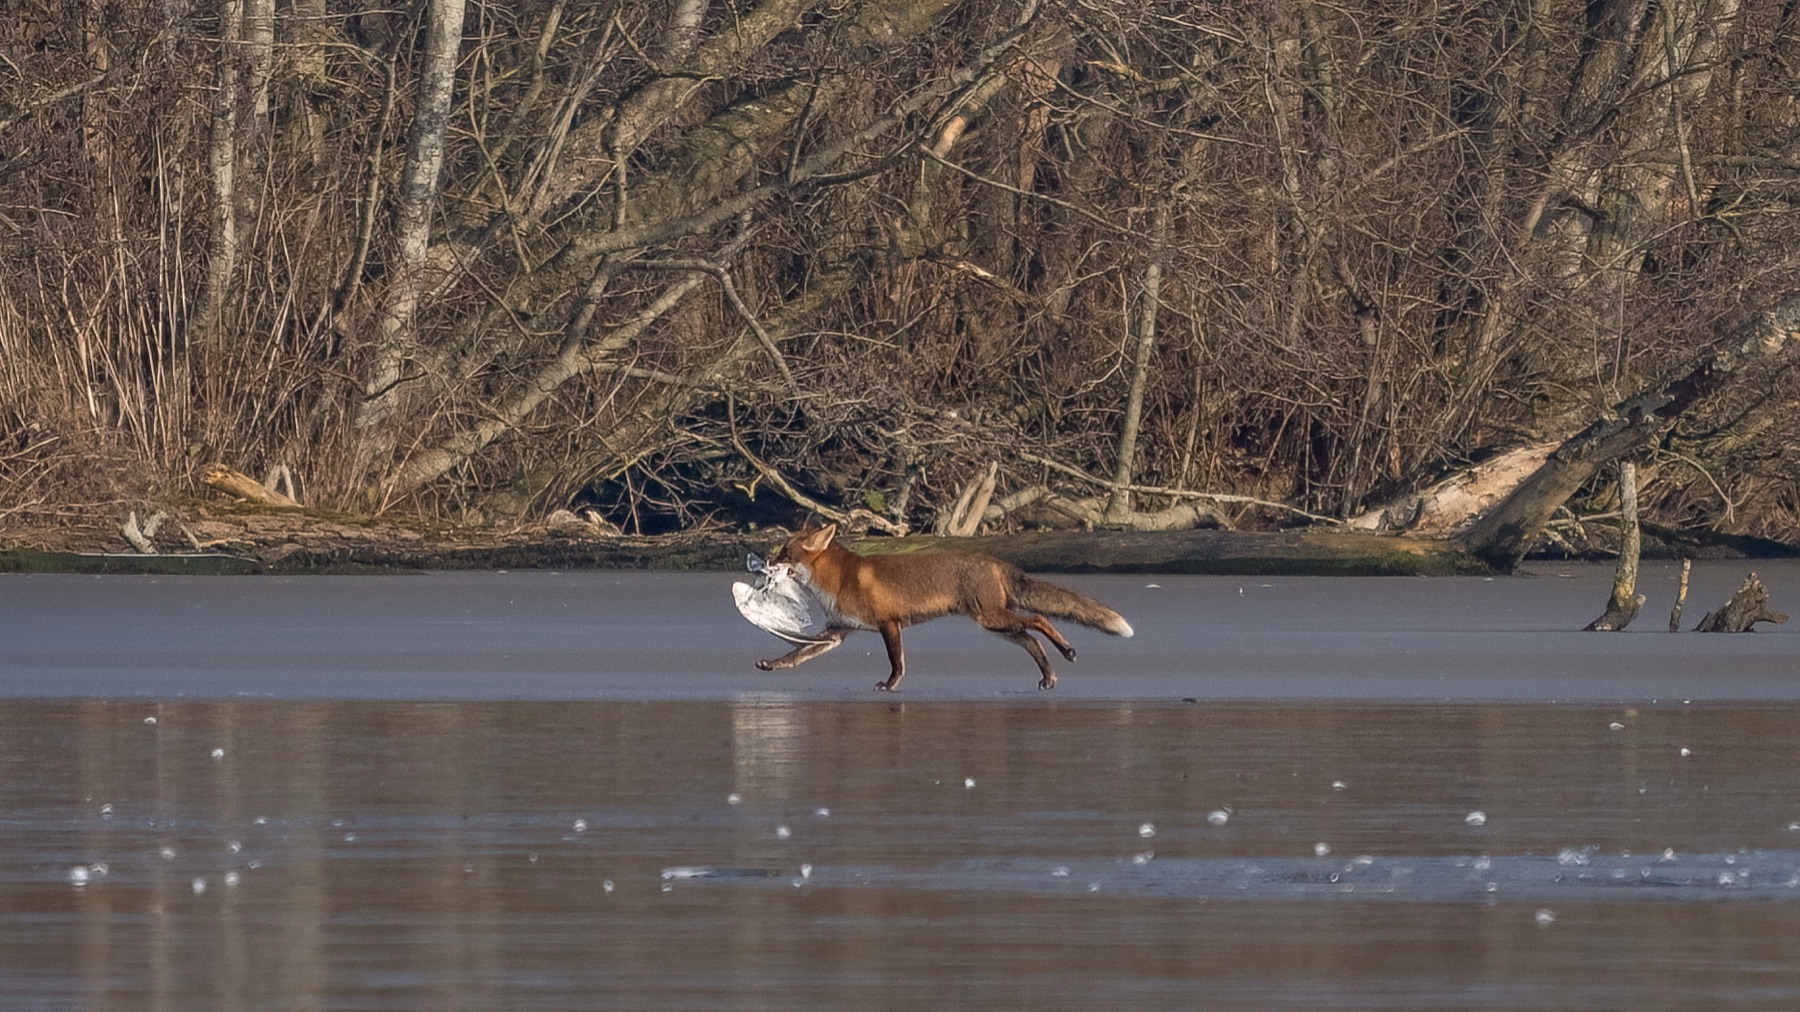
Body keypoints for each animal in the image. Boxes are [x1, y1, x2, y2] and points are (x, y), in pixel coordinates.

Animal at [753, 524, 1134, 691]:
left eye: (785, 552)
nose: (765, 562)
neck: (840, 580)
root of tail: (994, 561)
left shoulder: (889, 623)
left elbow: (896, 661)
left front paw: (891, 685)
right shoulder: (837, 632)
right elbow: (795, 656)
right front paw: (771, 664)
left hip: (991, 617)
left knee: (1039, 619)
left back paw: (1067, 651)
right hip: (995, 625)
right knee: (1031, 638)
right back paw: (1049, 676)